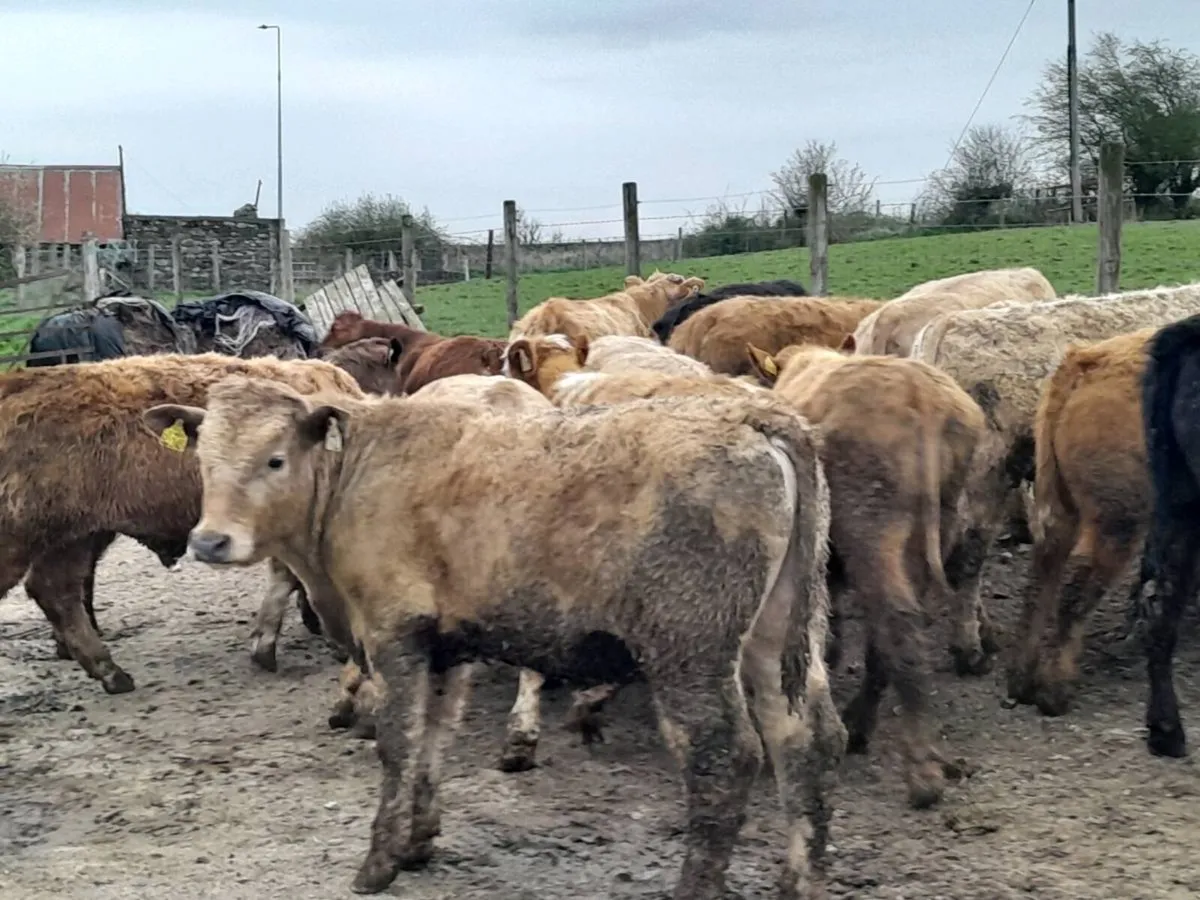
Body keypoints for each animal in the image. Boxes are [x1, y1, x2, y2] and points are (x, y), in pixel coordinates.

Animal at [147, 376, 845, 900]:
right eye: (202, 459)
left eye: (275, 459)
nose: (210, 541)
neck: (354, 479)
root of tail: (754, 415)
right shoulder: (446, 645)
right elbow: (435, 739)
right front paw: (417, 840)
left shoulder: (394, 635)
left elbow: (398, 744)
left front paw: (379, 862)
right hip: (779, 634)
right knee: (805, 740)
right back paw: (799, 883)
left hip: (689, 647)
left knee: (725, 758)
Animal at [746, 342, 989, 809]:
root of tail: (920, 396)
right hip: (933, 524)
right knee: (892, 630)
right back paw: (867, 723)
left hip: (873, 528)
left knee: (898, 623)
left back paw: (920, 772)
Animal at [1006, 327, 1157, 718]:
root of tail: (1084, 363)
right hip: (1117, 519)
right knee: (1077, 587)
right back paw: (1053, 689)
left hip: (1061, 506)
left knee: (1042, 576)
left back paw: (1021, 679)